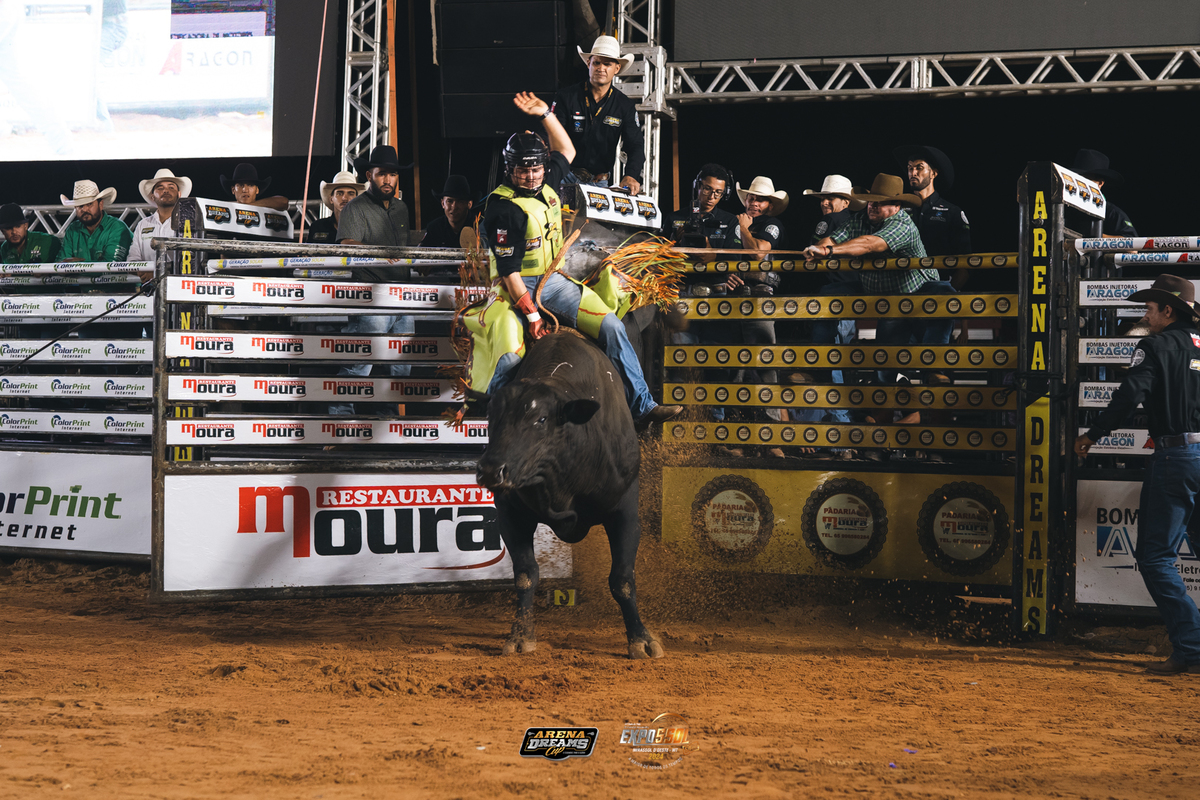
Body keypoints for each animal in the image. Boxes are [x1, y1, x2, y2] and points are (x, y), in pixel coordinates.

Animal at [475, 330, 665, 659]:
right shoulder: (510, 513)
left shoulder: (625, 513)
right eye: (490, 417)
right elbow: (525, 575)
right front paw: (520, 635)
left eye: (541, 420)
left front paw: (641, 640)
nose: (490, 471)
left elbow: (622, 580)